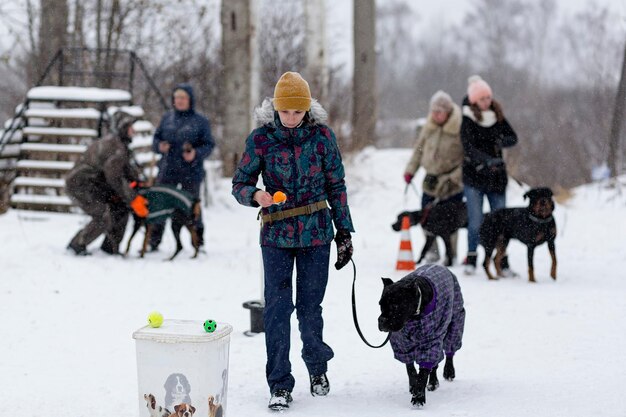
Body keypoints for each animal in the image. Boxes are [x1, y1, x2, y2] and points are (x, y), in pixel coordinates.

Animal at [376, 264, 464, 406]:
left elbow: (423, 372)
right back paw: (433, 382)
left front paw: (418, 397)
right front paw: (414, 385)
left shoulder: (431, 340)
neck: (413, 317)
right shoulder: (402, 343)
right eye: (380, 304)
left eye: (395, 306)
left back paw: (447, 372)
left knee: (449, 350)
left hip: (456, 320)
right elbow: (410, 368)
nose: (382, 320)